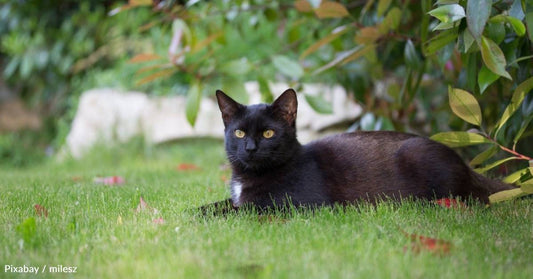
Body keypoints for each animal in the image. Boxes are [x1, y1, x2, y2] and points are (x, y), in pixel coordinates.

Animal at [210, 88, 512, 211]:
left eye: (268, 133)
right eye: (239, 132)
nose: (250, 148)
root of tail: (469, 168)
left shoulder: (295, 206)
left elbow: (241, 211)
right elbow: (221, 205)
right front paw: (200, 213)